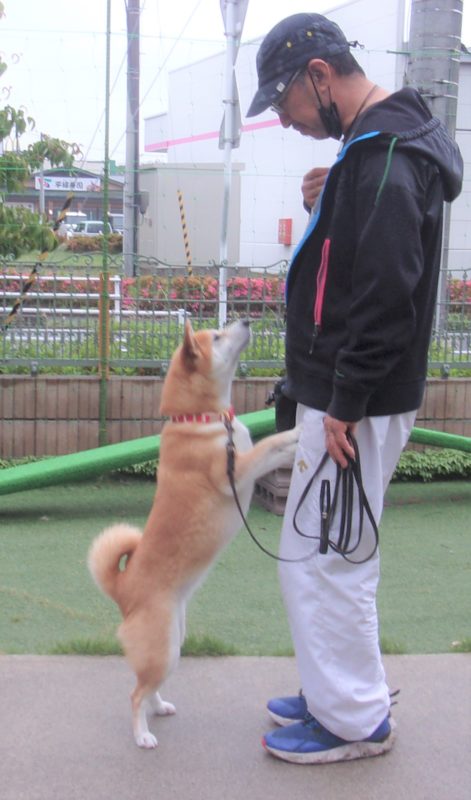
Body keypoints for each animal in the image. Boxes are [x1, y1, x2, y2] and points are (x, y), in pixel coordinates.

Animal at [88, 318, 300, 749]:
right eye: (217, 336)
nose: (246, 320)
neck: (201, 419)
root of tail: (123, 591)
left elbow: (270, 447)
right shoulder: (235, 471)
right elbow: (268, 445)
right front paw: (298, 433)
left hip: (174, 644)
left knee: (148, 688)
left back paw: (159, 708)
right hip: (163, 648)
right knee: (135, 693)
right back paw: (143, 734)